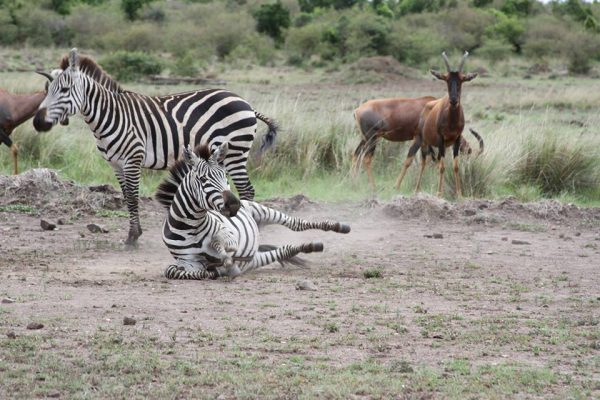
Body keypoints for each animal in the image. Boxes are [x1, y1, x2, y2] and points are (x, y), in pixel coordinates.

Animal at [36, 48, 280, 245]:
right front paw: (134, 234)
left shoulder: (133, 159)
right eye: (47, 89)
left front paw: (133, 237)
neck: (111, 115)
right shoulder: (116, 164)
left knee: (247, 190)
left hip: (235, 154)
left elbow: (133, 197)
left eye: (65, 89)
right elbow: (126, 197)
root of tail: (244, 102)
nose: (38, 122)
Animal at [156, 142, 352, 280]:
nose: (234, 205)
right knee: (286, 250)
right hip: (257, 259)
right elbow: (175, 271)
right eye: (203, 179)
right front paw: (218, 268)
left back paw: (339, 227)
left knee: (296, 224)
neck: (189, 227)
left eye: (225, 176)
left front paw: (224, 260)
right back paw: (312, 246)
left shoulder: (230, 236)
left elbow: (219, 243)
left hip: (262, 211)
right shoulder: (188, 262)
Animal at [352, 86, 482, 191]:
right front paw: (396, 186)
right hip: (372, 139)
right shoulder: (419, 139)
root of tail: (357, 110)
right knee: (366, 159)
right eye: (468, 154)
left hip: (365, 139)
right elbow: (410, 160)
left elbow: (432, 160)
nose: (467, 171)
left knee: (356, 154)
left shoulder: (427, 143)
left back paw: (354, 182)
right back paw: (373, 187)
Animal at [396, 50, 476, 198]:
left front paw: (459, 194)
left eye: (461, 80)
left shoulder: (456, 139)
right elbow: (442, 167)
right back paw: (417, 190)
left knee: (435, 161)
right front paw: (439, 194)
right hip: (424, 141)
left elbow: (455, 166)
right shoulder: (441, 139)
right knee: (423, 163)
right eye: (446, 79)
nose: (453, 100)